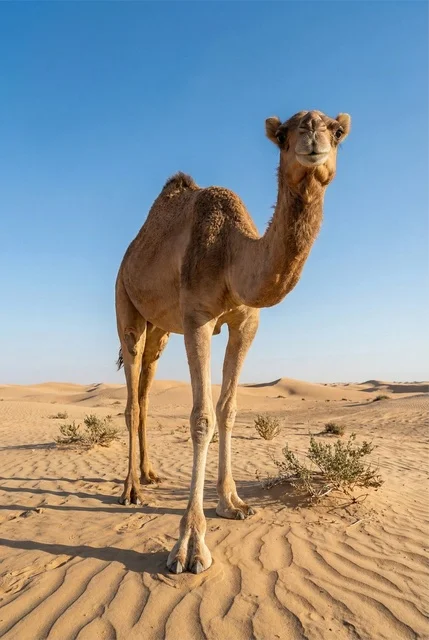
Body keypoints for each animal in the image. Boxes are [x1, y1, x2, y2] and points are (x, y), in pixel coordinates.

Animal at [115, 109, 351, 574]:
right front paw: (190, 545)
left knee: (147, 387)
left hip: (160, 329)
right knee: (132, 393)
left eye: (336, 131)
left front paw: (232, 502)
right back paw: (131, 489)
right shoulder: (197, 319)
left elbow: (228, 409)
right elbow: (202, 417)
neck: (230, 252)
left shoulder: (246, 323)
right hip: (126, 304)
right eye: (283, 134)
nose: (312, 136)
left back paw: (150, 474)